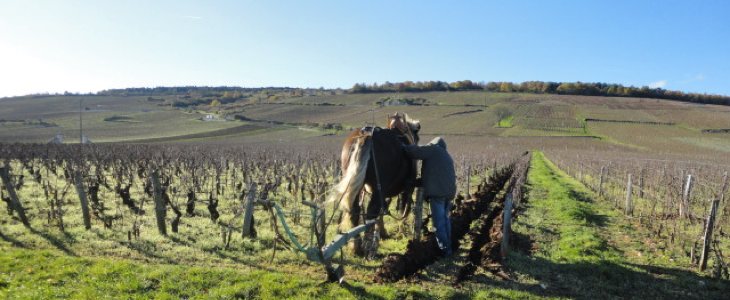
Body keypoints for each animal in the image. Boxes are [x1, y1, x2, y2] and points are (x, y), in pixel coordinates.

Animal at [328, 112, 418, 255]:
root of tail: (366, 135)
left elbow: (383, 209)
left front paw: (382, 232)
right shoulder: (404, 188)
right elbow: (400, 209)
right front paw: (398, 231)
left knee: (355, 211)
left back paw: (356, 246)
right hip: (379, 187)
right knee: (372, 211)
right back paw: (368, 246)